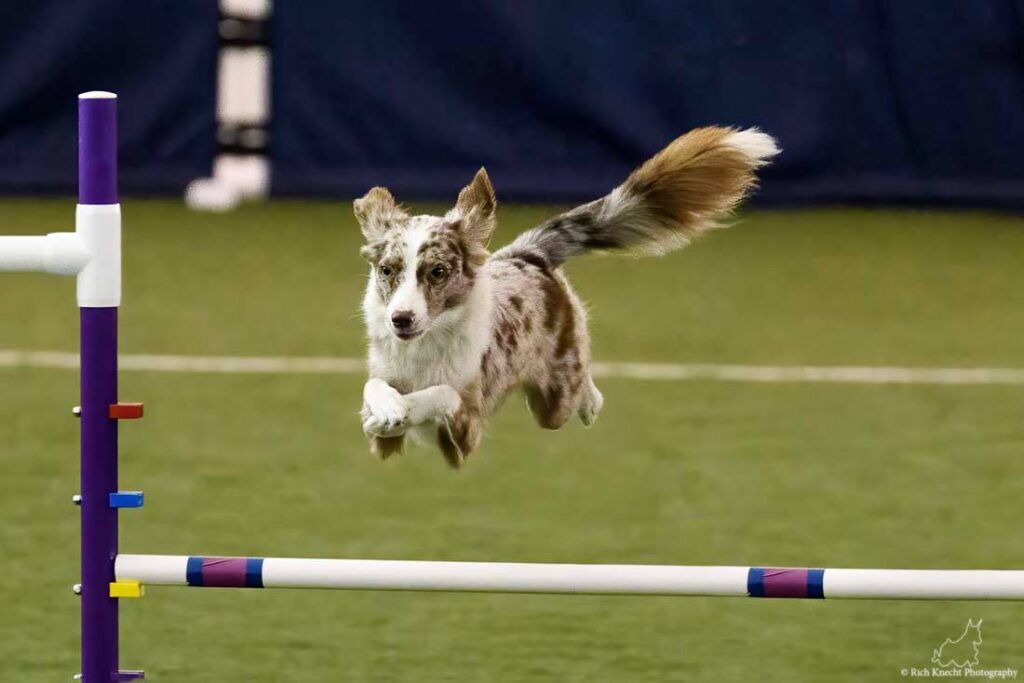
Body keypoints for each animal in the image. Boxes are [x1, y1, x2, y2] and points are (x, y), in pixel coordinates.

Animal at [358, 125, 774, 466]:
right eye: (388, 270)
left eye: (438, 272)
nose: (401, 319)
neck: (424, 347)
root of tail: (528, 252)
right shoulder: (386, 428)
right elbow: (374, 387)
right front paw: (386, 408)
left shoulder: (466, 428)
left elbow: (443, 393)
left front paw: (400, 407)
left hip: (554, 399)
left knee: (582, 391)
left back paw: (589, 405)